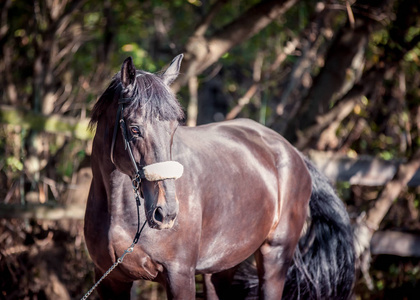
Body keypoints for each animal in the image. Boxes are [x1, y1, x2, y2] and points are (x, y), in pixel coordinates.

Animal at [84, 54, 354, 300]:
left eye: (173, 128)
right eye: (134, 129)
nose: (166, 213)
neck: (119, 212)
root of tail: (293, 152)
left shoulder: (180, 275)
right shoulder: (110, 280)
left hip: (275, 259)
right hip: (221, 267)